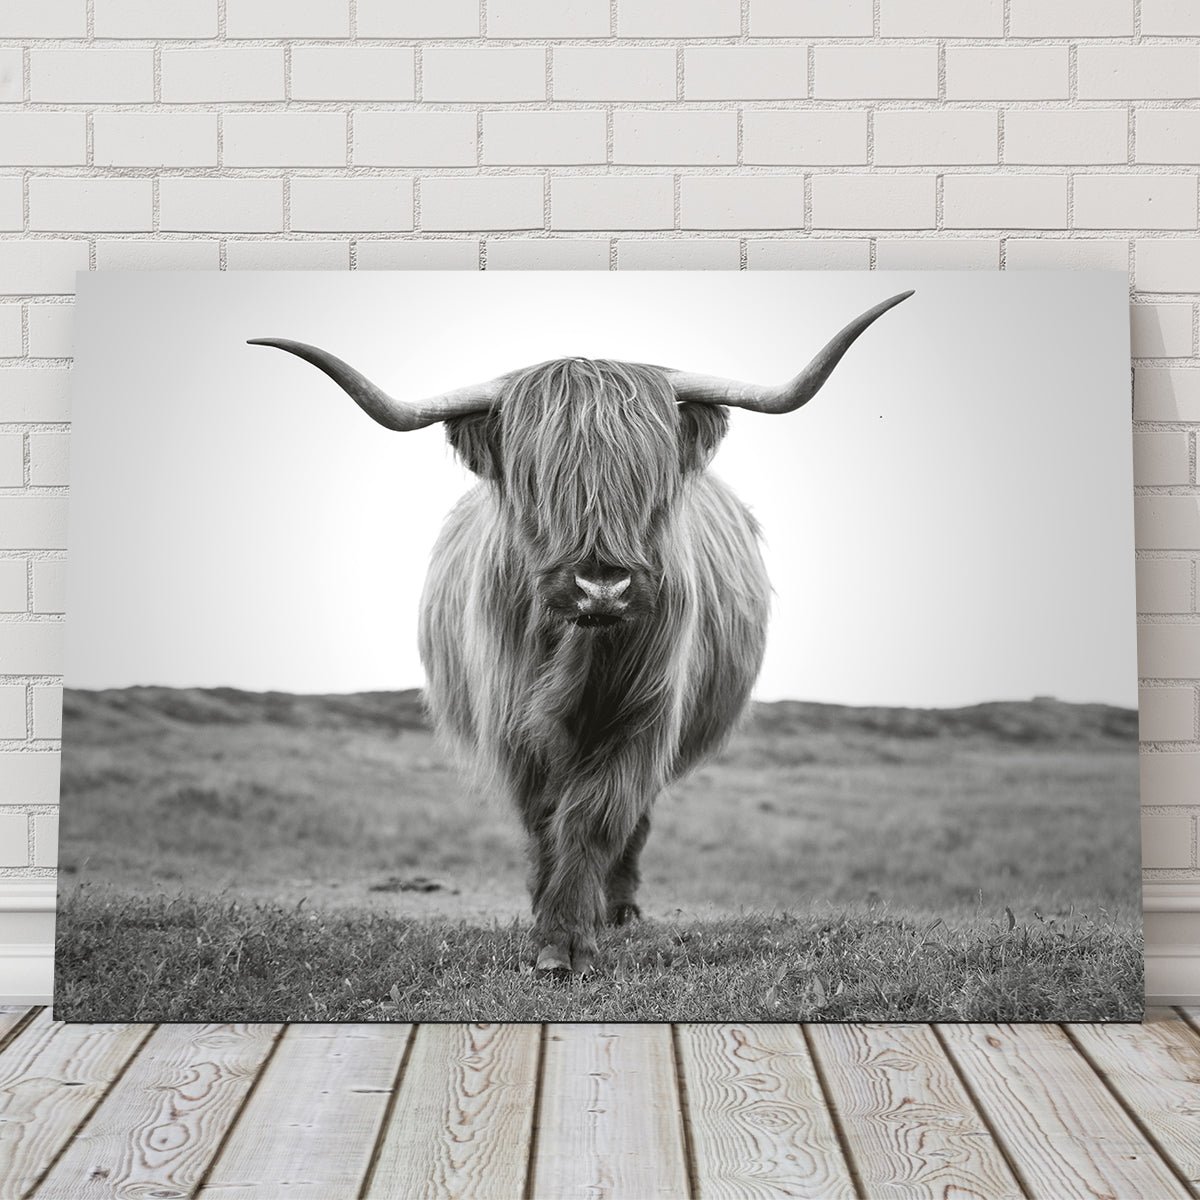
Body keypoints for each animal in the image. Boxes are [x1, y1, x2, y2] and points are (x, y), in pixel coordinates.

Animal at [250, 289, 913, 974]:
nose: (601, 587)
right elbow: (545, 818)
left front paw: (569, 935)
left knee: (634, 822)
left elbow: (597, 816)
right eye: (536, 480)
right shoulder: (514, 724)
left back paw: (617, 909)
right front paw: (548, 925)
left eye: (649, 478)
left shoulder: (643, 717)